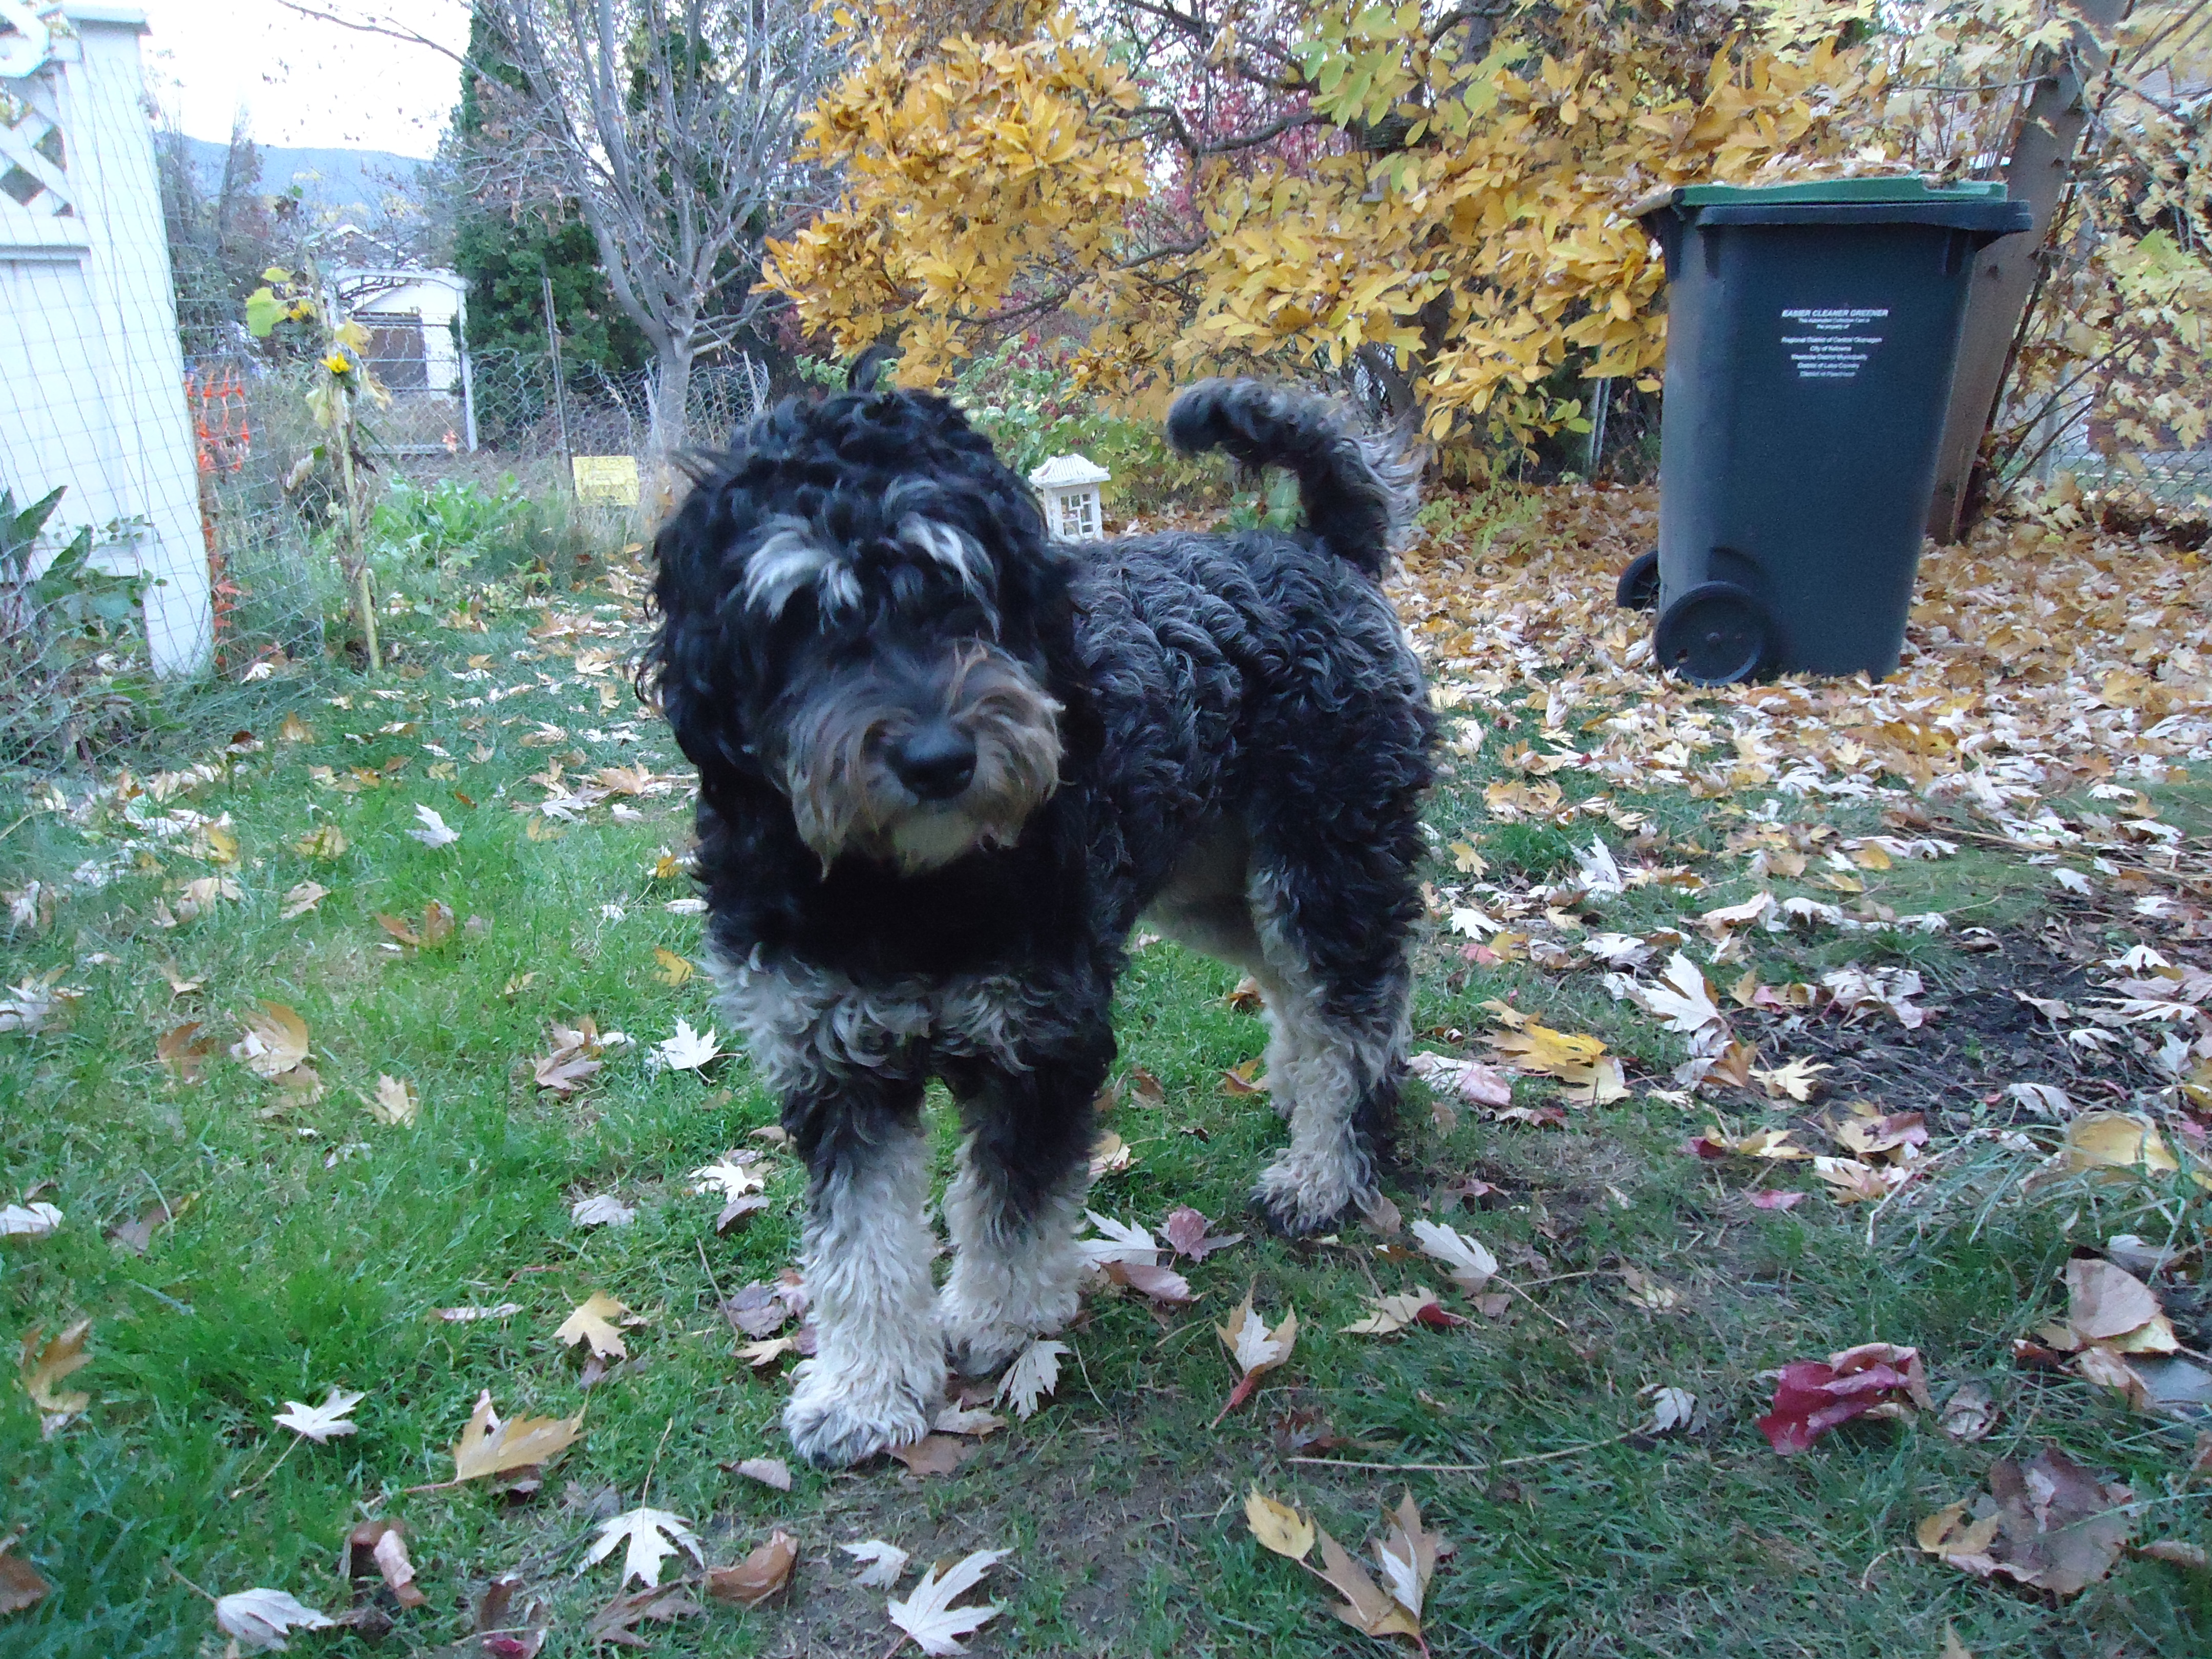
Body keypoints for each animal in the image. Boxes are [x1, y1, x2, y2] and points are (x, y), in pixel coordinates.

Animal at [644, 375, 1435, 1468]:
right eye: (803, 617)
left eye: (962, 592)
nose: (938, 760)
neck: (909, 890)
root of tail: (1322, 550)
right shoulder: (836, 1063)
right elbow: (861, 1247)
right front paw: (864, 1392)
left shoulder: (1042, 1035)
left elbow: (1008, 1208)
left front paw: (997, 1322)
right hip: (1219, 890)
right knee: (1303, 993)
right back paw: (1298, 1087)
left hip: (1325, 869)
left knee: (1357, 1007)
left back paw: (1328, 1167)